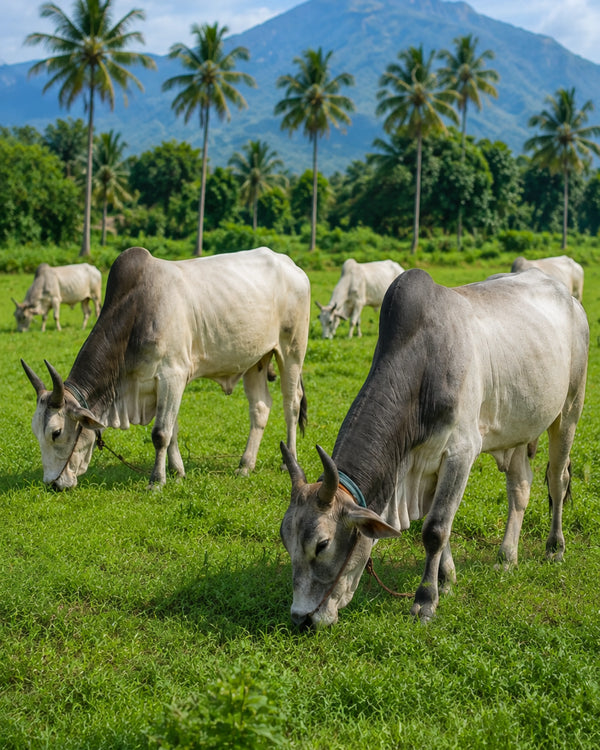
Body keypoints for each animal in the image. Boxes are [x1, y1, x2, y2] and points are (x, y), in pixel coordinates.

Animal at [21, 246, 310, 490]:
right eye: (35, 431)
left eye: (56, 432)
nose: (53, 485)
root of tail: (291, 265)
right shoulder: (164, 385)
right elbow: (172, 431)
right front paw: (177, 471)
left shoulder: (173, 375)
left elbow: (160, 433)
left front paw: (156, 481)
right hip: (256, 360)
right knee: (260, 408)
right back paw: (245, 465)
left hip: (292, 351)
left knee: (291, 405)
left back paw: (288, 461)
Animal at [280, 267, 589, 628]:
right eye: (286, 540)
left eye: (322, 544)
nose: (301, 618)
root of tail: (570, 298)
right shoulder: (423, 466)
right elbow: (442, 526)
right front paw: (446, 579)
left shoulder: (460, 453)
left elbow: (436, 529)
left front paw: (425, 600)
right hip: (518, 431)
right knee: (520, 487)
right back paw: (506, 557)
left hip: (569, 411)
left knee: (557, 480)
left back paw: (555, 548)